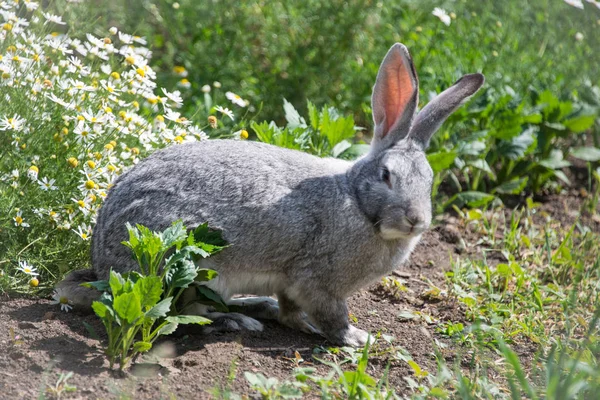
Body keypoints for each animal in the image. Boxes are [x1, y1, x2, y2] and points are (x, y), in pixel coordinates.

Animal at [58, 43, 486, 346]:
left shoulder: (295, 285)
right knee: (180, 310)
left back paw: (255, 306)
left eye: (429, 181)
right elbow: (330, 315)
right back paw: (238, 319)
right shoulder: (319, 280)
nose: (417, 220)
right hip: (189, 266)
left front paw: (300, 323)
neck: (355, 200)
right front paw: (356, 338)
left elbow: (291, 309)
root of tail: (103, 264)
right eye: (386, 176)